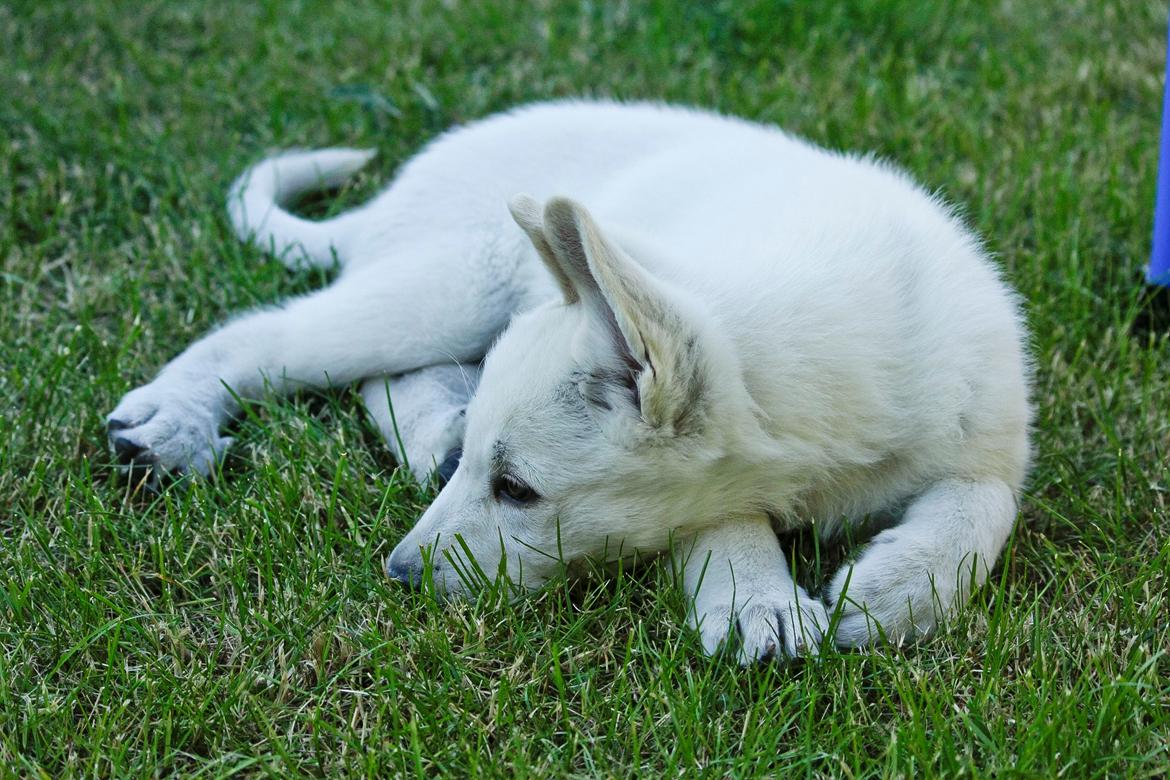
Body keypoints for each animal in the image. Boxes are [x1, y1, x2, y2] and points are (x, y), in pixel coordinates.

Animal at [105, 100, 1029, 664]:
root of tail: (394, 194)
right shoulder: (715, 483)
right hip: (452, 282)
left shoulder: (993, 440)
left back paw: (434, 429)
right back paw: (172, 421)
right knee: (274, 335)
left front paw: (892, 591)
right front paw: (755, 601)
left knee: (386, 377)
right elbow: (724, 523)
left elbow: (982, 513)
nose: (398, 576)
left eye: (517, 489)